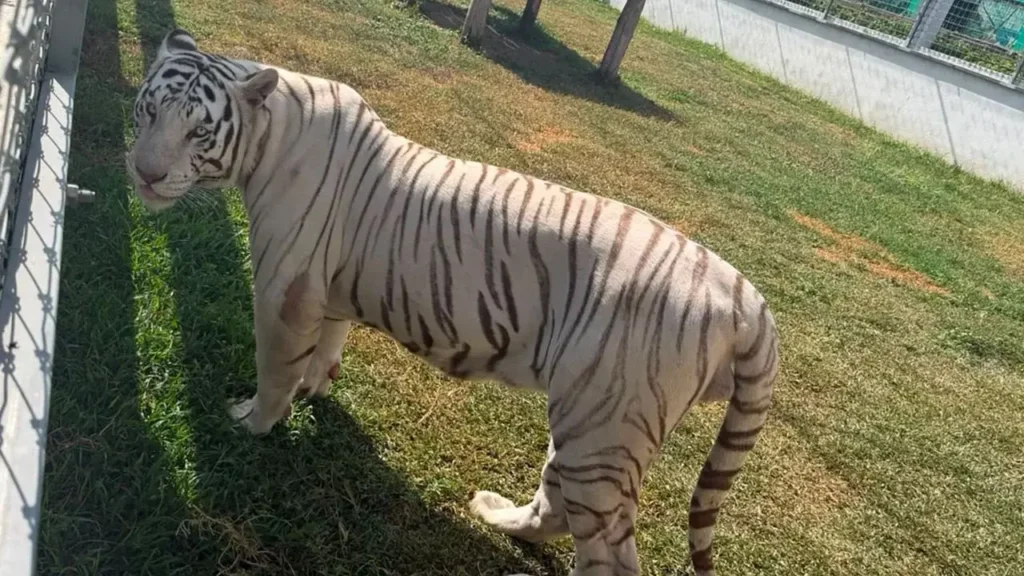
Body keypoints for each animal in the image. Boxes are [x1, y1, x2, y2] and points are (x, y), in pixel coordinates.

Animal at [126, 28, 780, 576]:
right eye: (149, 110)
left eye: (199, 132)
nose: (144, 174)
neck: (270, 132)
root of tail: (746, 298)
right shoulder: (327, 288)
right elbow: (327, 346)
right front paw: (317, 389)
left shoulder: (284, 291)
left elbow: (274, 370)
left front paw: (252, 422)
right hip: (588, 421)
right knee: (556, 504)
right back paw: (497, 514)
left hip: (606, 427)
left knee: (607, 551)